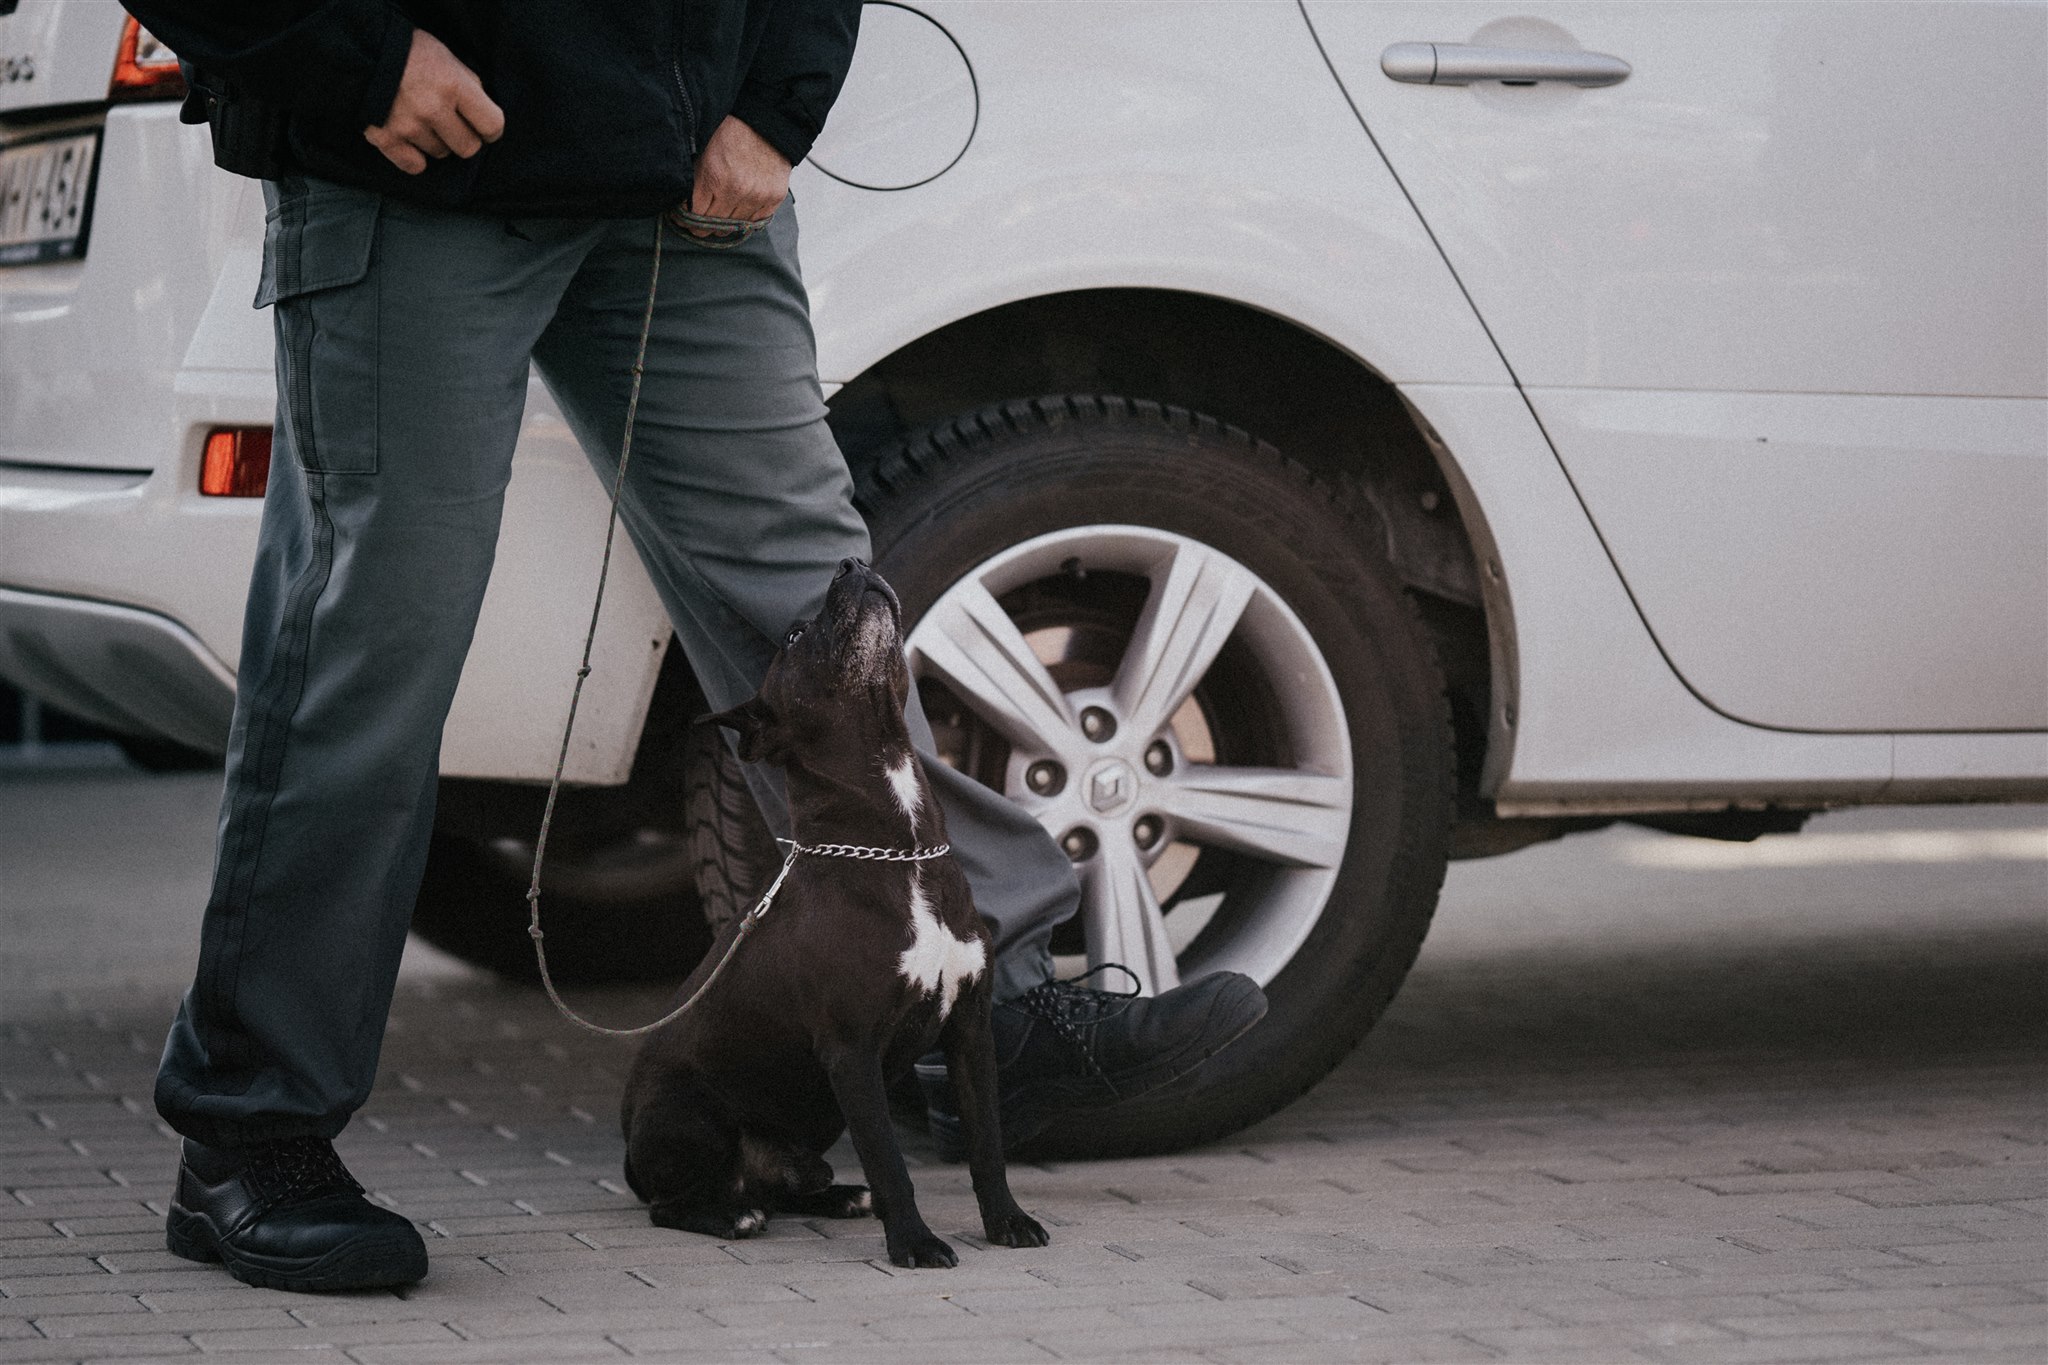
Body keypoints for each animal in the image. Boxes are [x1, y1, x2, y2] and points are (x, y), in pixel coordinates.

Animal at [620, 558, 1048, 1268]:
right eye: (794, 637)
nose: (851, 564)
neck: (900, 850)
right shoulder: (852, 1052)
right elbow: (890, 1161)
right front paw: (914, 1244)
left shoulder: (969, 1032)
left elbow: (987, 1144)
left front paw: (1007, 1221)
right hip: (692, 1116)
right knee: (671, 1206)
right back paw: (731, 1215)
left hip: (809, 1134)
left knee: (789, 1185)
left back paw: (838, 1196)